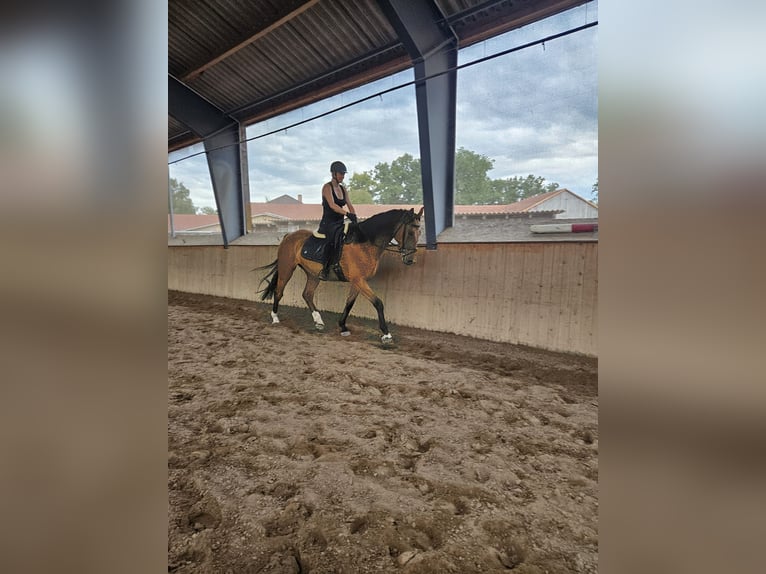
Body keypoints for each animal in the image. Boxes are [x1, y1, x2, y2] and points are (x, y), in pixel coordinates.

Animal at [257, 207, 423, 343]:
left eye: (419, 232)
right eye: (410, 232)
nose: (410, 260)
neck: (365, 243)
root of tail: (289, 236)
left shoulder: (358, 281)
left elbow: (349, 303)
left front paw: (343, 327)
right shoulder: (359, 280)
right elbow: (378, 303)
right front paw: (386, 334)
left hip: (313, 275)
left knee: (307, 294)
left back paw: (319, 322)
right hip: (287, 269)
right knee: (279, 291)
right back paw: (275, 318)